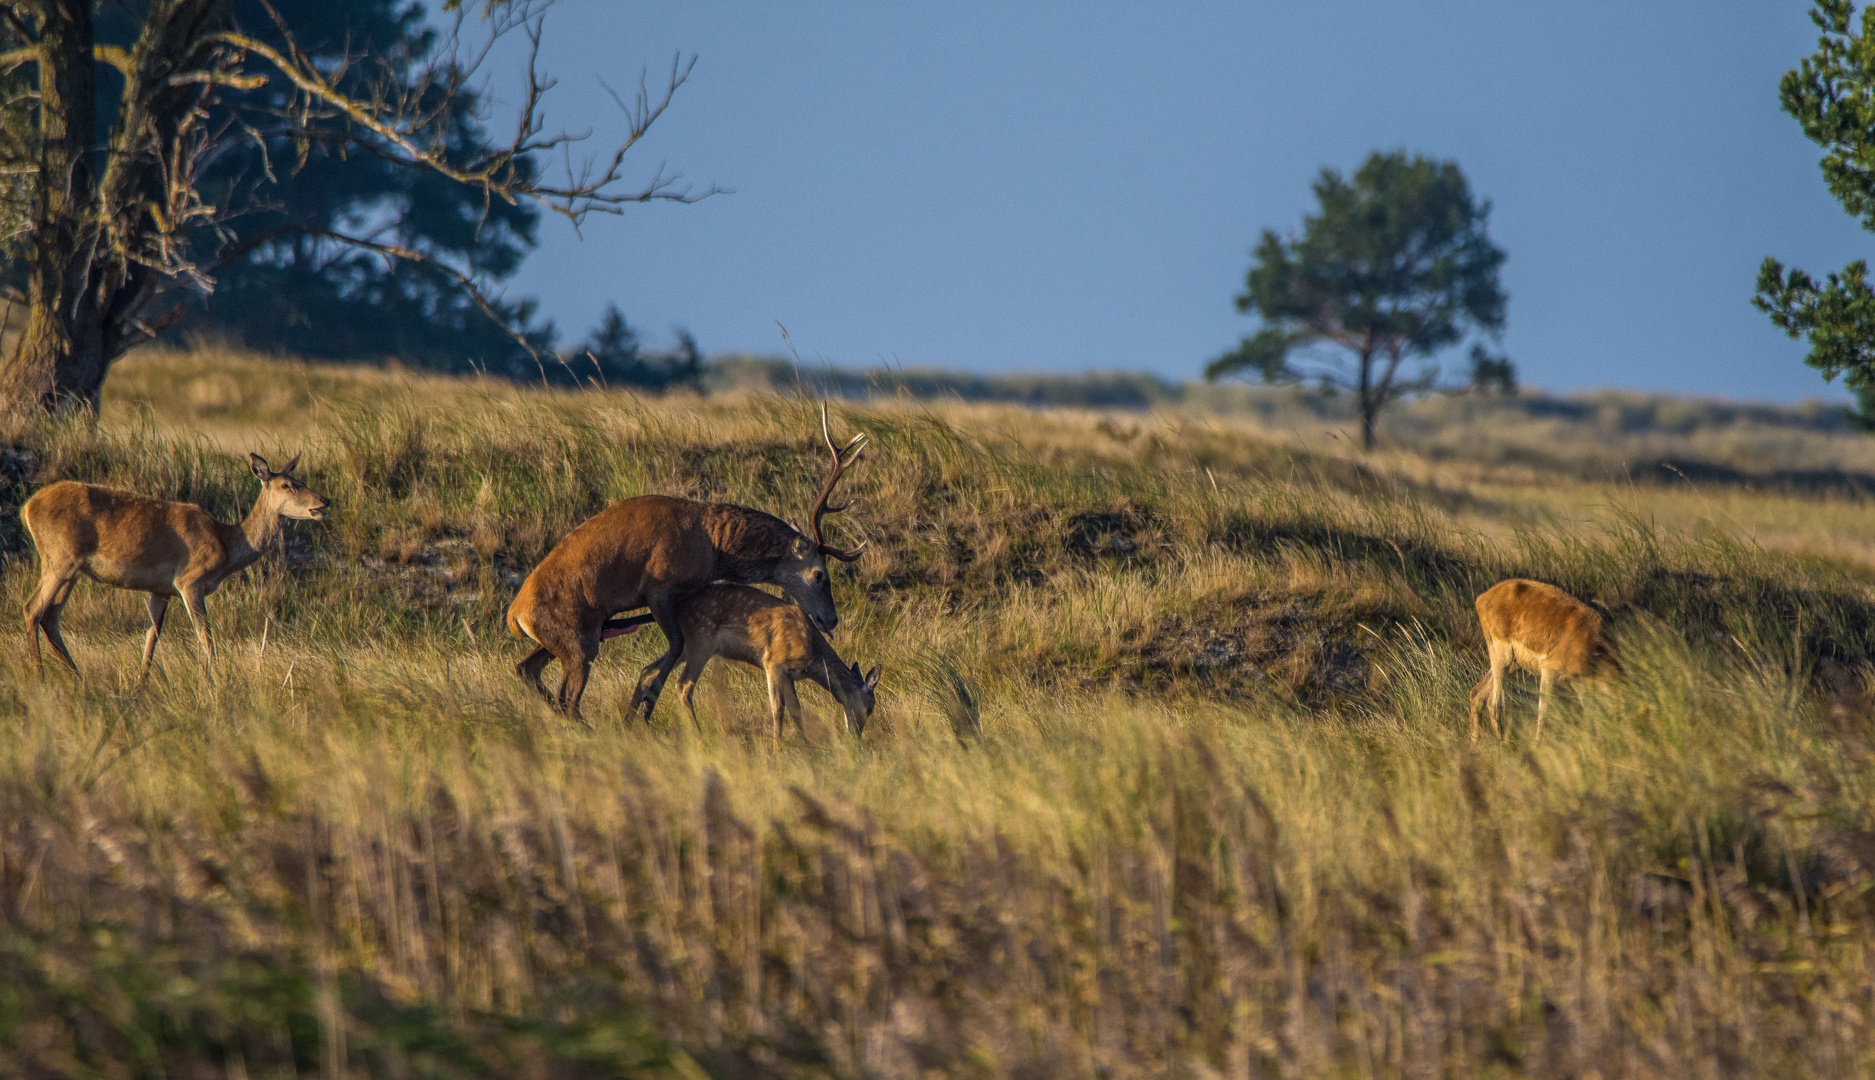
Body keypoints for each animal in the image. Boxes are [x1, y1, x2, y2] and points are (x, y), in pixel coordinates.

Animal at [24, 453, 333, 675]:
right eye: (286, 485)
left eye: (302, 481)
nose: (324, 501)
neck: (227, 546)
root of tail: (27, 508)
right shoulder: (189, 581)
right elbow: (206, 638)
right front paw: (215, 684)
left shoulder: (161, 590)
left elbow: (151, 639)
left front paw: (140, 686)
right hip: (59, 561)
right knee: (33, 608)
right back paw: (40, 676)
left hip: (71, 570)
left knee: (51, 616)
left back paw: (77, 677)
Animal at [506, 405, 870, 727]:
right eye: (819, 574)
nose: (831, 619)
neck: (715, 549)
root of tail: (515, 616)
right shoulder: (658, 588)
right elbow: (676, 647)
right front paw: (645, 708)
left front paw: (639, 711)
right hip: (576, 641)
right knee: (568, 699)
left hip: (571, 636)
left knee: (528, 670)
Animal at [611, 585, 881, 738]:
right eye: (870, 708)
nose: (856, 737)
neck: (812, 654)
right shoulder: (773, 662)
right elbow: (778, 709)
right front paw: (777, 749)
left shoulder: (789, 674)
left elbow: (796, 710)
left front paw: (806, 747)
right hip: (701, 640)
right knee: (684, 684)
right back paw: (699, 735)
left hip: (686, 646)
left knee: (648, 670)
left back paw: (628, 725)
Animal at [1470, 581, 1620, 742]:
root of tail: (1482, 598)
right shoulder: (1549, 671)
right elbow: (1544, 710)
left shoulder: (1578, 682)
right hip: (1503, 659)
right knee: (1494, 703)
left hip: (1512, 664)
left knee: (1477, 694)